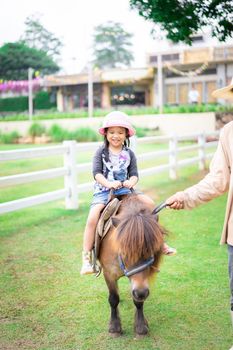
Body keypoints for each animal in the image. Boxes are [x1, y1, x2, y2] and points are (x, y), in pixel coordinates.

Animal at [98, 194, 166, 336]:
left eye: (152, 251)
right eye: (124, 253)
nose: (141, 293)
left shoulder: (140, 283)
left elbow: (138, 302)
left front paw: (140, 327)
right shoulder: (109, 274)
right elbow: (113, 298)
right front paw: (114, 327)